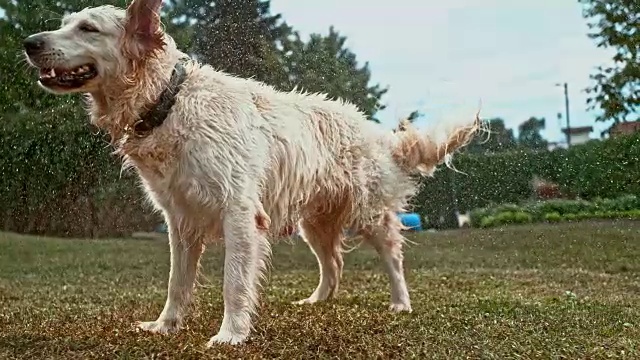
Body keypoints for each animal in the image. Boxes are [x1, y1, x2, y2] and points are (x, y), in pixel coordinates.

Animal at [25, 0, 482, 348]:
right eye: (65, 22)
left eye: (87, 28)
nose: (29, 43)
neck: (168, 102)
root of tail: (372, 128)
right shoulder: (180, 221)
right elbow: (177, 283)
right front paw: (165, 326)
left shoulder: (240, 214)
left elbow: (233, 283)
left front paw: (230, 335)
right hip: (313, 223)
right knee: (333, 263)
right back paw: (317, 302)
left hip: (368, 213)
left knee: (392, 257)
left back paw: (401, 303)